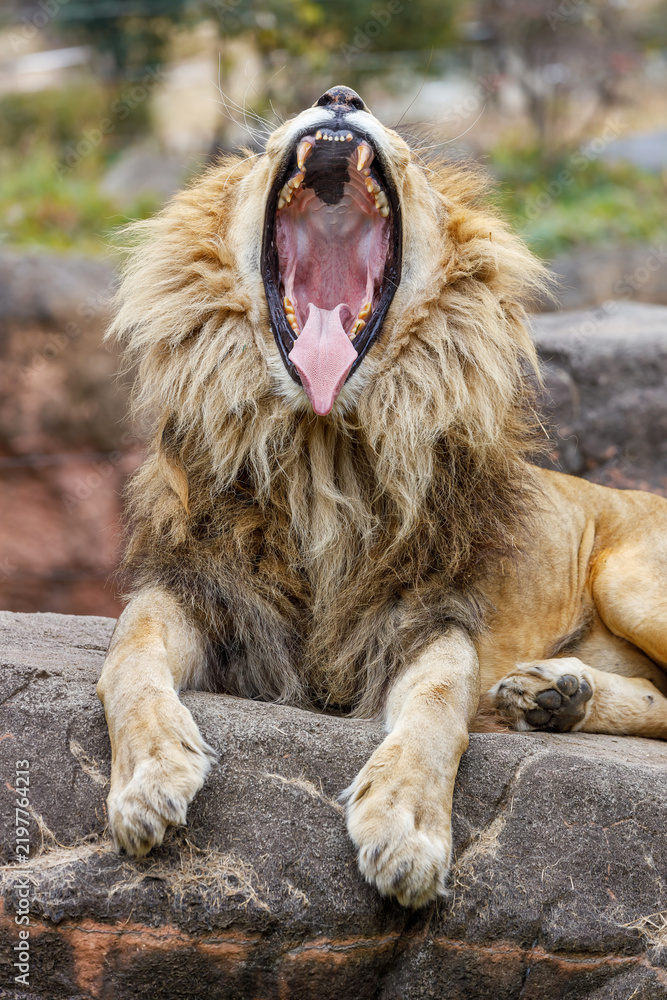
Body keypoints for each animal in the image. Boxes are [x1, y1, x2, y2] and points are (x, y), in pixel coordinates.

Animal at [98, 86, 667, 909]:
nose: (340, 96)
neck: (321, 452)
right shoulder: (199, 586)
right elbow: (129, 656)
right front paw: (147, 780)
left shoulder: (428, 615)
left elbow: (439, 707)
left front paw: (405, 829)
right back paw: (554, 696)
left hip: (629, 579)